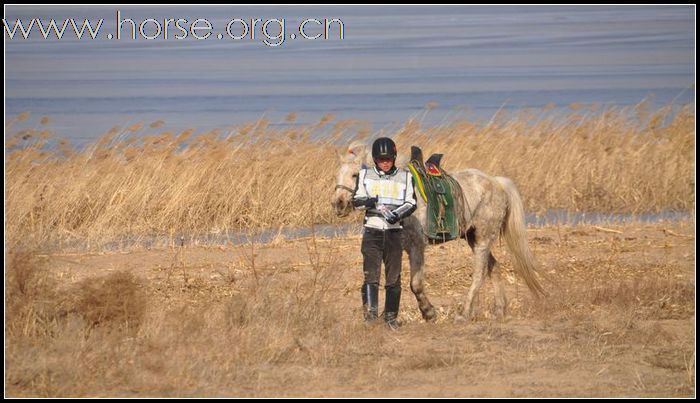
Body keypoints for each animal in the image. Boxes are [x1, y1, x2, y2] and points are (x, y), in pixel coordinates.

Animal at [330, 142, 544, 322]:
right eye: (337, 174)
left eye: (355, 175)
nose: (338, 204)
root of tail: (497, 183)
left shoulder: (417, 247)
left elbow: (415, 284)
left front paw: (429, 313)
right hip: (473, 238)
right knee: (493, 267)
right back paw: (499, 309)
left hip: (483, 239)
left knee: (479, 273)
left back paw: (464, 313)